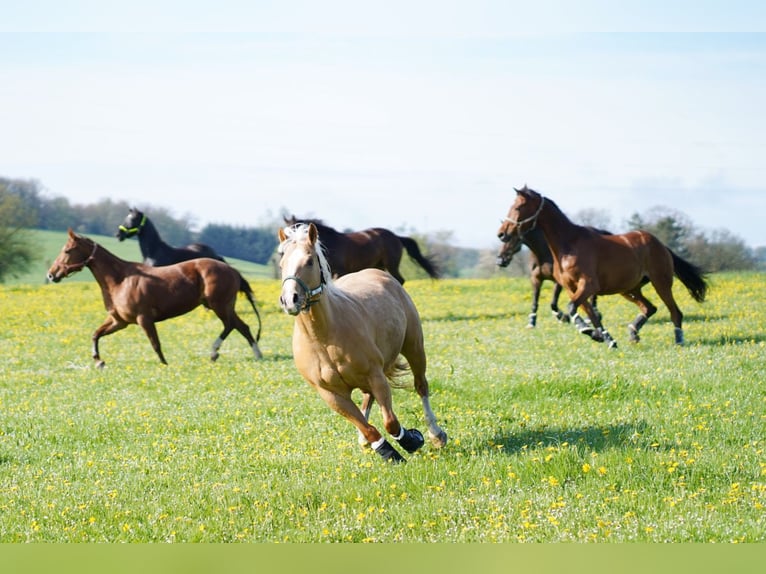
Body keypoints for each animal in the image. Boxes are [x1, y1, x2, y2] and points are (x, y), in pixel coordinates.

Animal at [48, 230, 264, 368]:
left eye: (67, 251)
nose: (51, 274)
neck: (120, 280)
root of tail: (231, 270)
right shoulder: (119, 322)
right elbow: (96, 334)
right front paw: (99, 361)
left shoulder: (144, 319)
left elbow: (155, 344)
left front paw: (164, 364)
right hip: (222, 306)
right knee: (241, 326)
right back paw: (253, 355)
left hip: (219, 305)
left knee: (232, 325)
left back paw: (216, 352)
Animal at [278, 223, 448, 466]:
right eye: (281, 263)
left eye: (309, 261)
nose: (290, 300)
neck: (324, 340)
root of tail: (378, 273)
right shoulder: (332, 395)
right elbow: (368, 428)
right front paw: (386, 451)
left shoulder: (375, 376)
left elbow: (391, 423)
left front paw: (411, 440)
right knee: (368, 400)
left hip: (414, 347)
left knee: (421, 386)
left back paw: (436, 434)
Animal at [282, 216, 440, 286]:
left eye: (293, 232)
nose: (281, 252)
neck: (331, 244)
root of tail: (397, 237)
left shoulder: (340, 271)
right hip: (379, 266)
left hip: (392, 265)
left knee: (400, 280)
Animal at [496, 188, 712, 346]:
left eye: (519, 206)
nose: (501, 233)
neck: (567, 245)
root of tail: (659, 243)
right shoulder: (572, 287)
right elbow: (589, 313)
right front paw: (604, 337)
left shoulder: (588, 285)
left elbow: (573, 308)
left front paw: (586, 329)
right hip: (629, 288)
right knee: (650, 307)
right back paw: (633, 332)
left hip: (661, 282)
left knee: (675, 312)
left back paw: (679, 340)